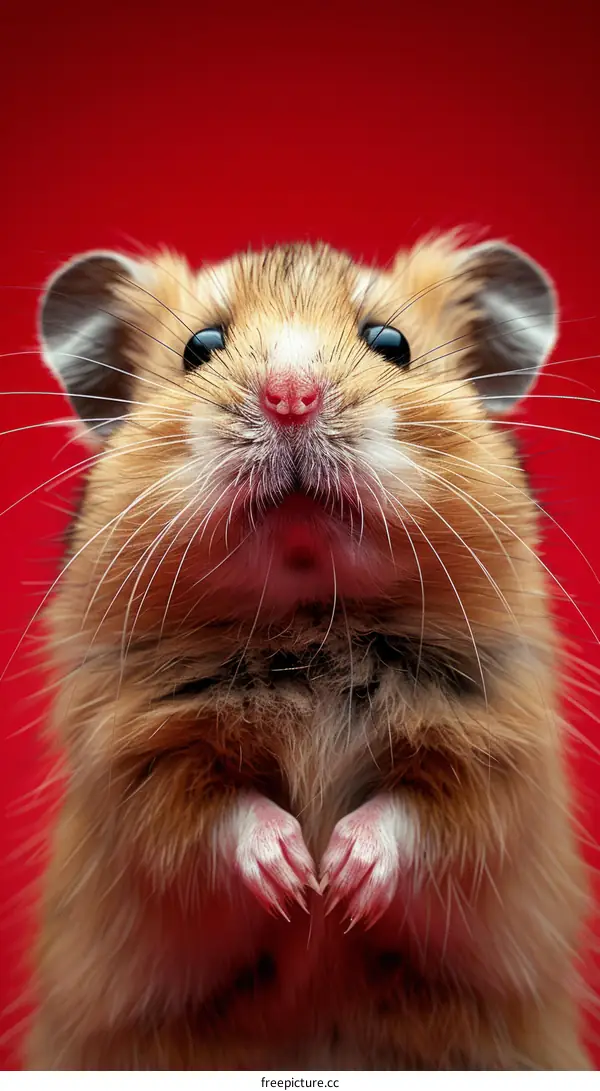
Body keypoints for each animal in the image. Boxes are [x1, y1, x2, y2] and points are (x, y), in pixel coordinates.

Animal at [24, 235, 590, 1069]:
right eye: (201, 347)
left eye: (391, 342)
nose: (290, 396)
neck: (310, 621)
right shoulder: (138, 764)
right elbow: (212, 814)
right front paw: (297, 877)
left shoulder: (490, 754)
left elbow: (423, 815)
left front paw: (340, 880)